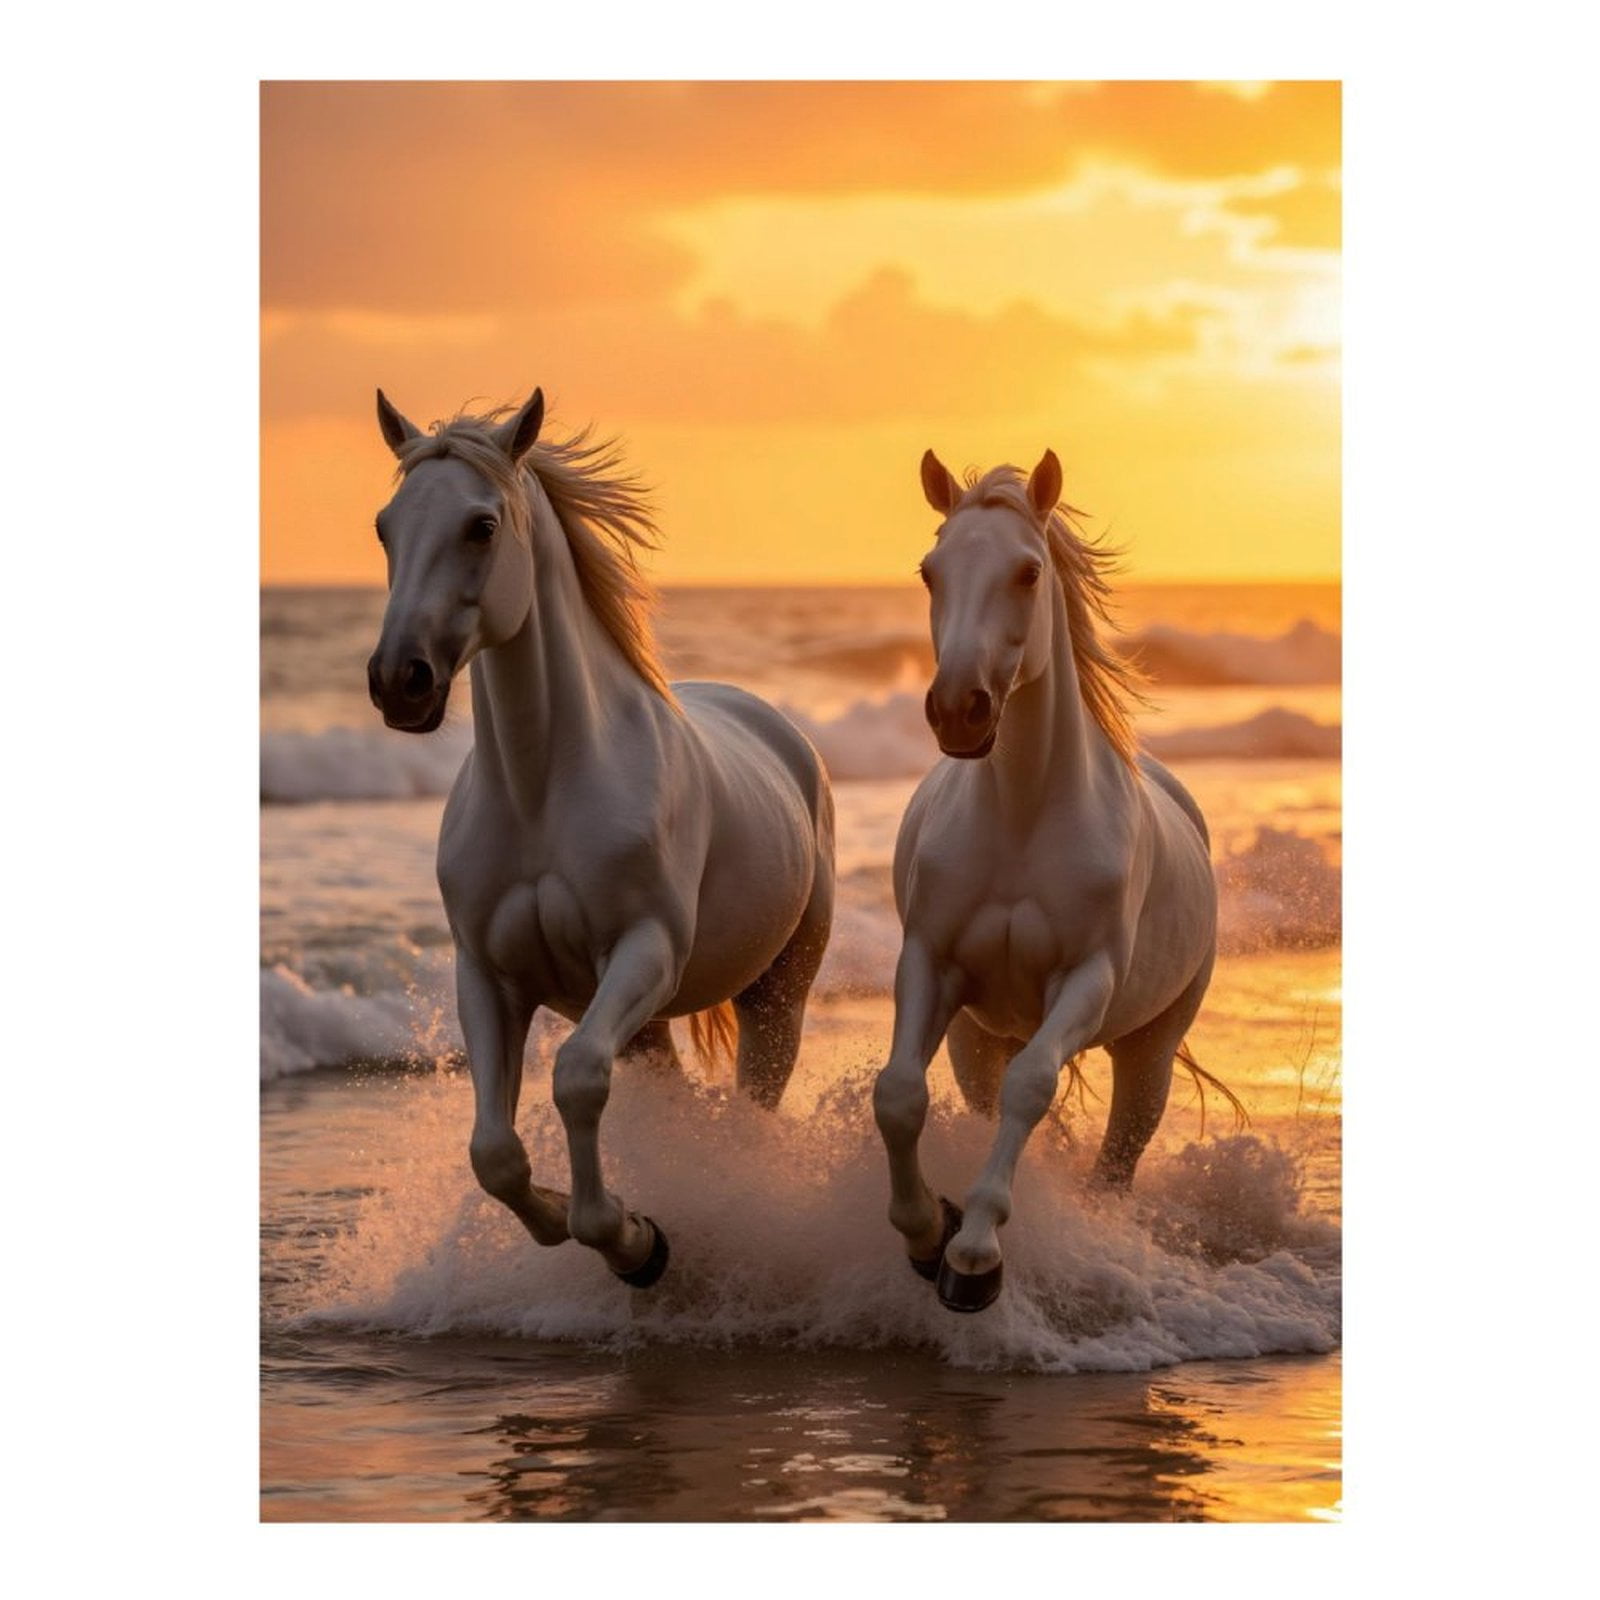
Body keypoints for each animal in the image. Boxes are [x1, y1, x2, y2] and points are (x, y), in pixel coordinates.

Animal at [366, 387, 835, 1287]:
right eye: (384, 526)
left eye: (481, 525)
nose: (399, 681)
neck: (543, 791)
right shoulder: (489, 976)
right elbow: (494, 1152)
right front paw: (585, 1220)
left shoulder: (645, 951)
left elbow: (579, 1078)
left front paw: (632, 1240)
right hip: (649, 1022)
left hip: (775, 997)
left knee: (753, 1100)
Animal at [872, 447, 1231, 1314]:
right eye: (930, 571)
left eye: (1029, 572)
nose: (958, 710)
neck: (1024, 814)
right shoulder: (930, 964)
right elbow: (898, 1095)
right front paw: (927, 1233)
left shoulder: (1087, 981)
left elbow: (1031, 1088)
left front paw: (974, 1257)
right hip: (975, 1038)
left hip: (1149, 1051)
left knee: (1117, 1158)